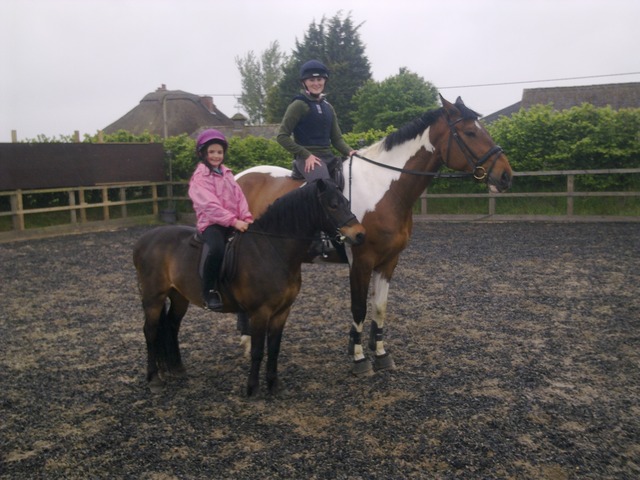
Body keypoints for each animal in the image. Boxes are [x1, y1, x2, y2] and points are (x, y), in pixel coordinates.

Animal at [132, 179, 366, 396]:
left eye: (346, 202)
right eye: (333, 205)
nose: (360, 235)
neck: (273, 249)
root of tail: (143, 240)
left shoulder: (282, 311)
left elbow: (274, 349)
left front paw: (274, 384)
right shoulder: (260, 312)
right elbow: (257, 350)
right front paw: (253, 388)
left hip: (179, 296)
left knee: (171, 326)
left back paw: (177, 368)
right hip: (153, 298)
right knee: (150, 331)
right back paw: (154, 379)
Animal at [235, 95, 513, 376]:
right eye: (470, 133)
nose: (506, 175)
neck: (384, 187)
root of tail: (239, 176)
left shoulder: (389, 261)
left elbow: (379, 307)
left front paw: (380, 353)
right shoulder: (361, 261)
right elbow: (359, 308)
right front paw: (359, 358)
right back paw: (247, 343)